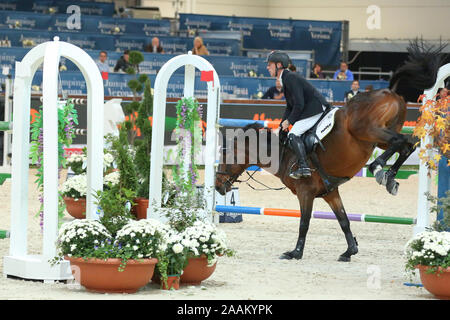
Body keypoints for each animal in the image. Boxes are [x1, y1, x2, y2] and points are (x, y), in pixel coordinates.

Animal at [215, 40, 446, 262]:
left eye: (225, 156)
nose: (217, 185)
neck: (283, 154)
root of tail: (390, 91)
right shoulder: (330, 192)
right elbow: (343, 220)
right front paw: (350, 251)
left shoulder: (305, 192)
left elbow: (304, 223)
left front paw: (295, 253)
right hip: (378, 136)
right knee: (406, 145)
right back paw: (388, 177)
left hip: (367, 130)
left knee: (401, 141)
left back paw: (377, 167)